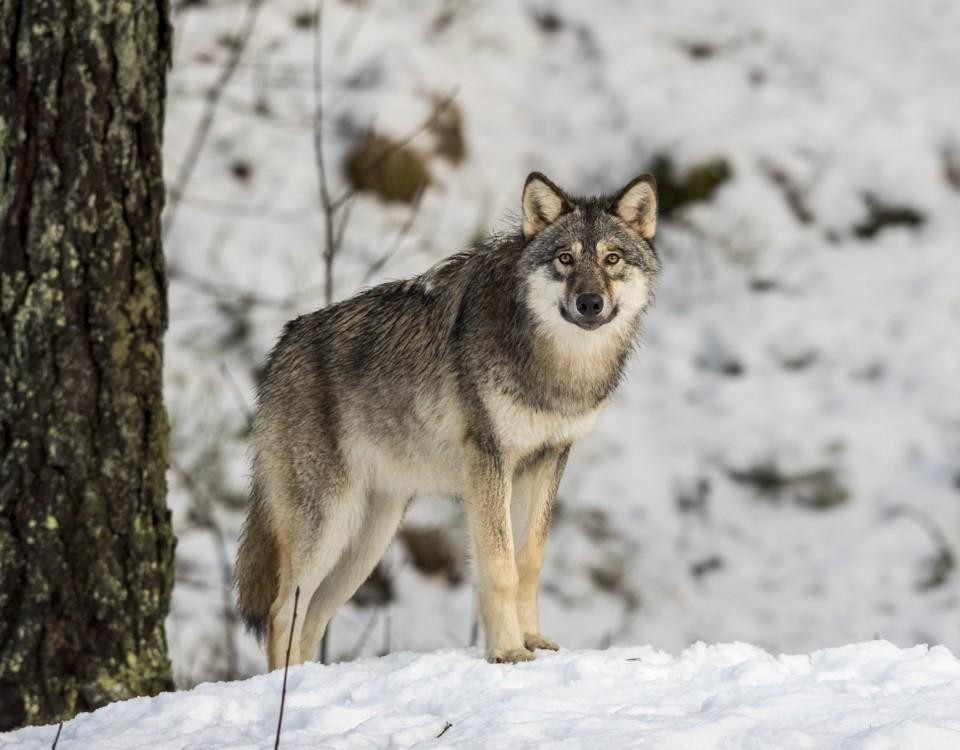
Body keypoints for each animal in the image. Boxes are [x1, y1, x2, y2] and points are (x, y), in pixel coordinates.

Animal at [236, 172, 664, 668]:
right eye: (565, 258)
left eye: (612, 259)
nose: (590, 303)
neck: (557, 369)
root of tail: (281, 347)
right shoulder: (489, 461)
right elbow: (499, 565)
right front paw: (508, 651)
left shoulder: (548, 458)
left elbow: (529, 560)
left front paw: (533, 640)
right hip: (329, 525)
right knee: (281, 611)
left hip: (368, 540)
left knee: (312, 619)